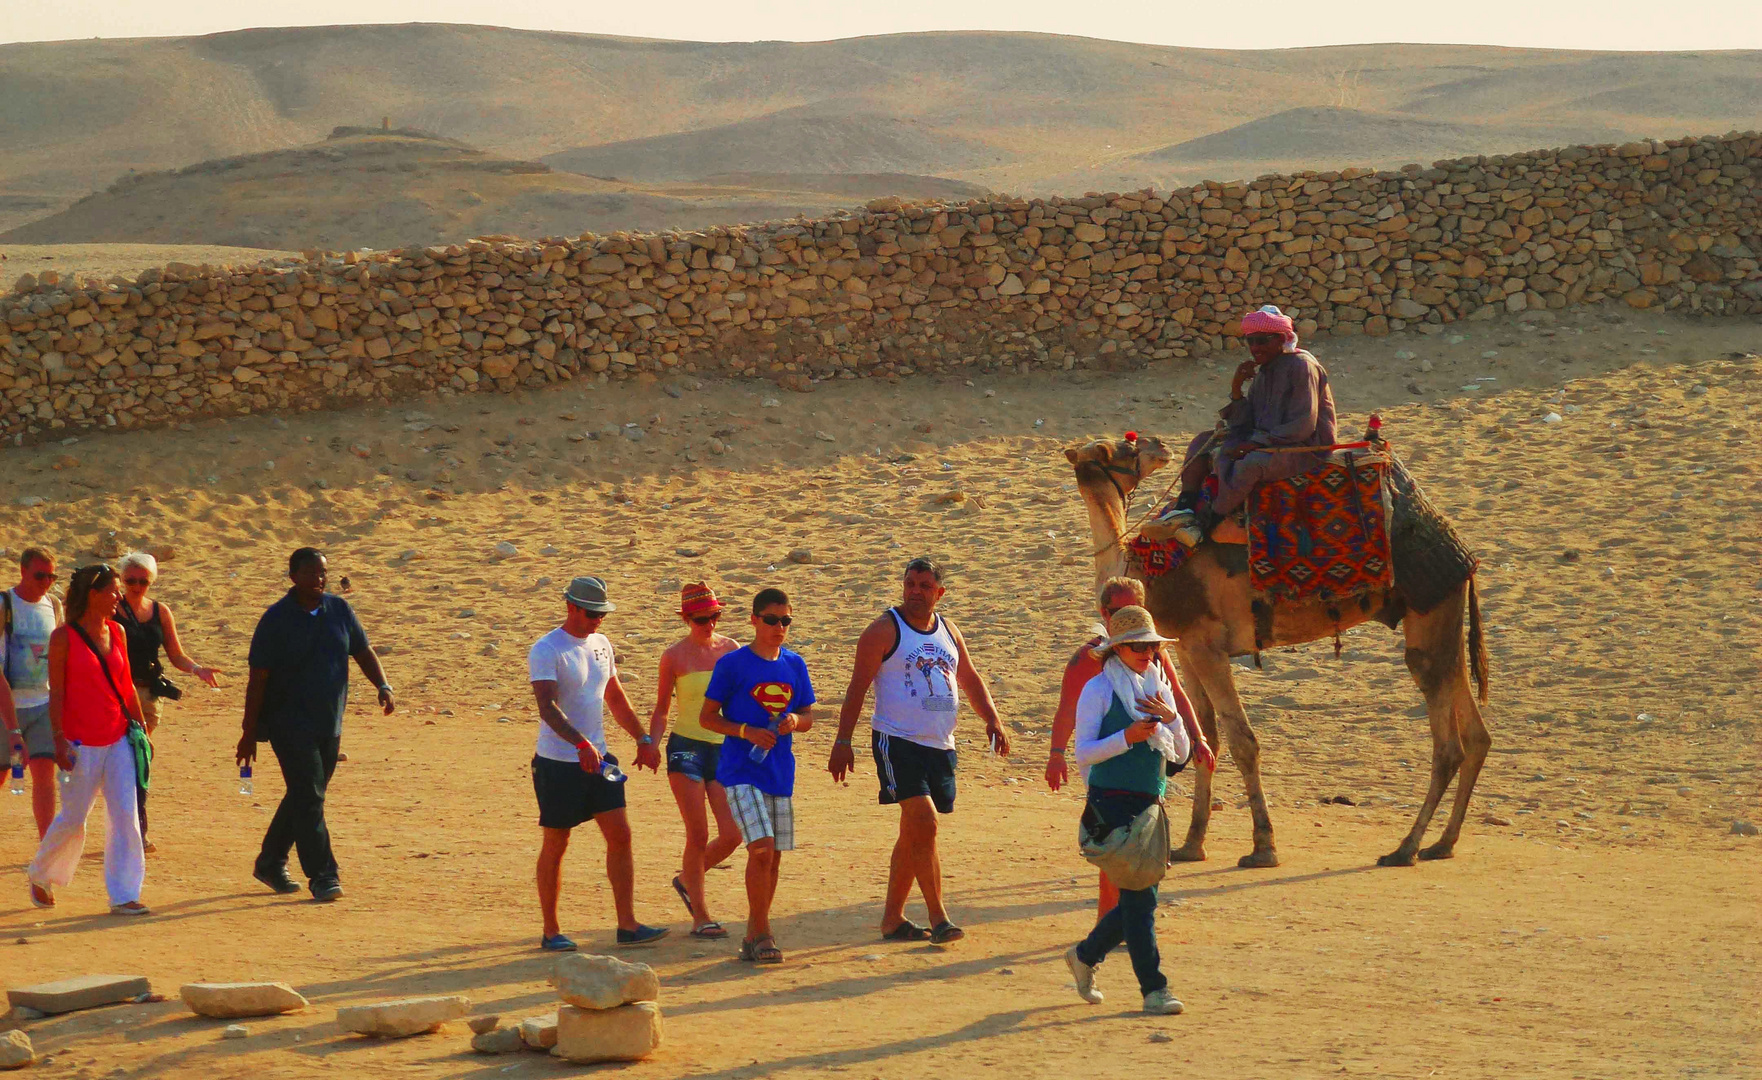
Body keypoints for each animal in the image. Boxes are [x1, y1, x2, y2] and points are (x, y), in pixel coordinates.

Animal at [1057, 433, 1487, 863]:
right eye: (1116, 448)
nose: (1157, 444)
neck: (1142, 572)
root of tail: (1465, 554)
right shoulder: (1185, 649)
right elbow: (1205, 739)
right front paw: (1191, 844)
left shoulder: (1206, 646)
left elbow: (1242, 741)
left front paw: (1263, 846)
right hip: (1442, 616)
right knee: (1475, 732)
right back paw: (1441, 843)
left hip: (1428, 609)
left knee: (1447, 742)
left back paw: (1405, 848)